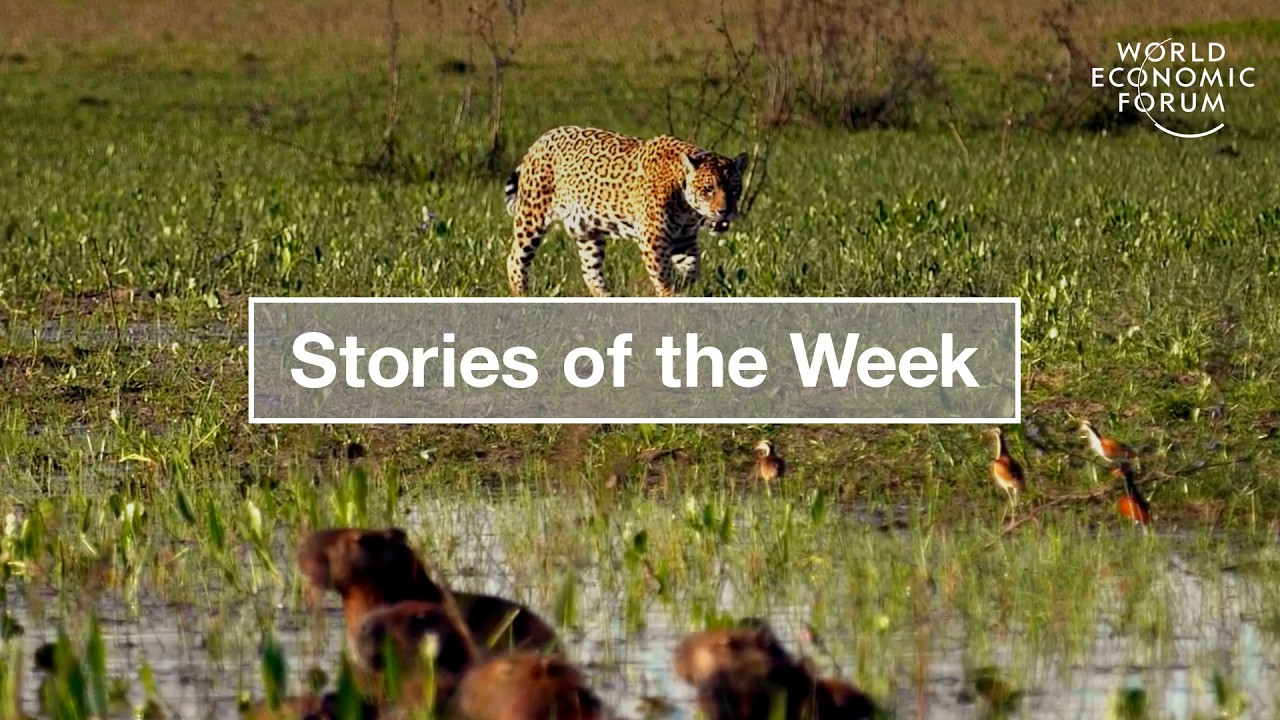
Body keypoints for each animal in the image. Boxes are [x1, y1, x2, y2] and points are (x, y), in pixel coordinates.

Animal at [503, 125, 748, 297]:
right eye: (708, 189)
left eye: (734, 188)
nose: (725, 211)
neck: (687, 209)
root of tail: (541, 139)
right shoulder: (653, 239)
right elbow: (662, 275)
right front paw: (670, 295)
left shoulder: (684, 240)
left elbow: (692, 269)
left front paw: (684, 288)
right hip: (532, 216)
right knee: (515, 259)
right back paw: (522, 296)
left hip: (588, 232)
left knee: (590, 272)